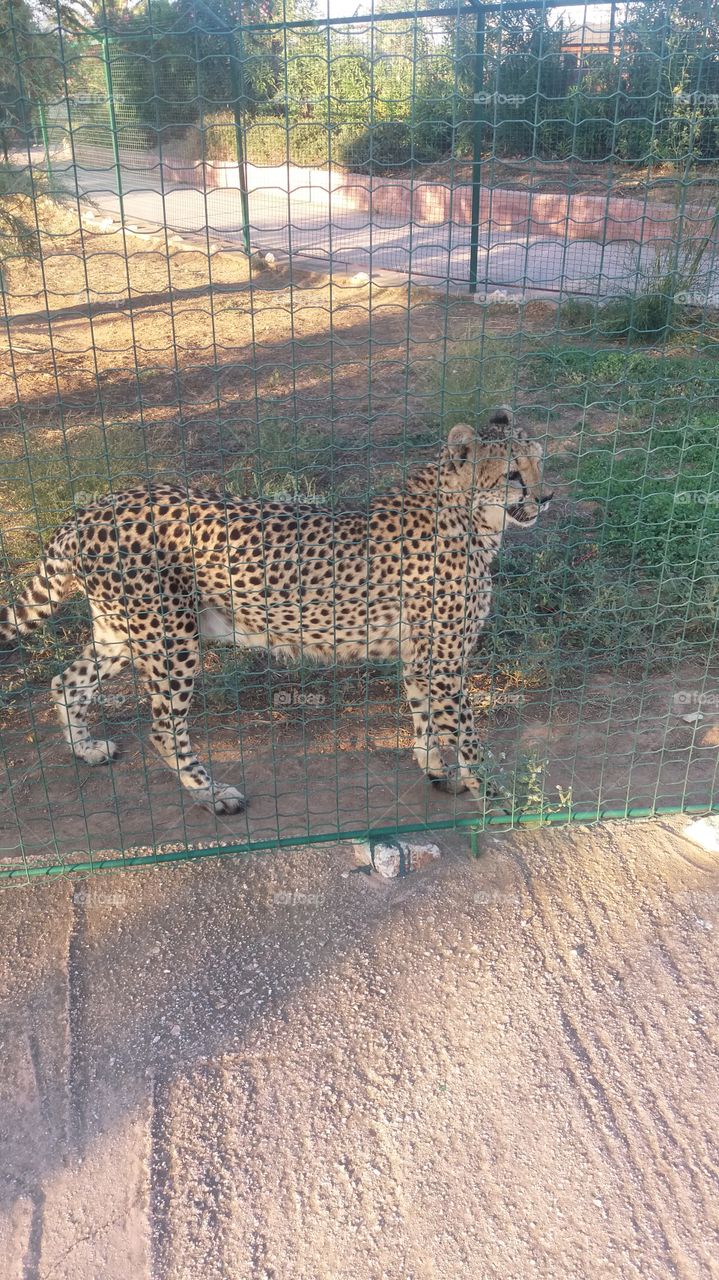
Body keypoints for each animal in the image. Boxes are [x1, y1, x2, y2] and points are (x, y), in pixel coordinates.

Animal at [0, 408, 552, 816]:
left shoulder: (423, 657)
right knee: (162, 729)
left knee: (66, 682)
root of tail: (90, 509)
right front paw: (497, 794)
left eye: (540, 462)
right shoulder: (443, 660)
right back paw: (211, 794)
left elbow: (425, 719)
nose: (546, 497)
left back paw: (86, 749)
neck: (468, 516)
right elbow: (468, 735)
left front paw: (438, 771)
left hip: (123, 632)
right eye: (512, 475)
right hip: (172, 639)